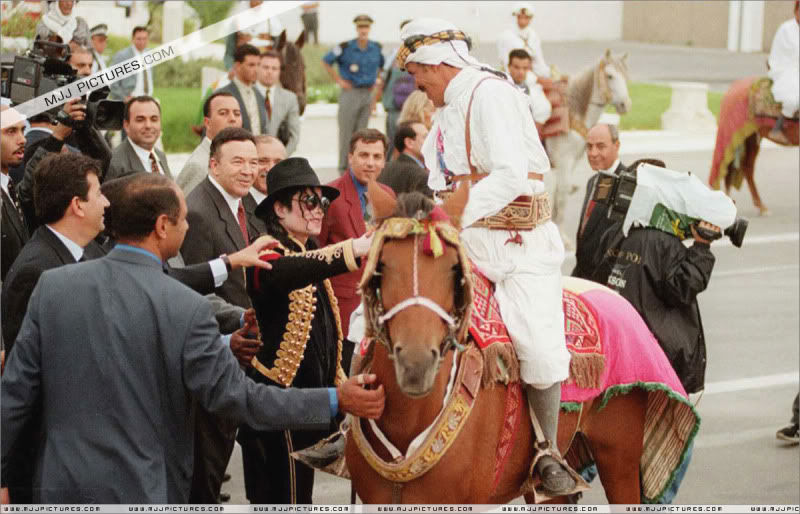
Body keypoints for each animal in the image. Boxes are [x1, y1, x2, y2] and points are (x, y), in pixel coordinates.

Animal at [544, 49, 632, 245]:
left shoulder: (571, 162)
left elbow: (558, 193)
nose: (625, 105)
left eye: (625, 75)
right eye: (610, 76)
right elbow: (562, 196)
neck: (574, 112)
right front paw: (563, 238)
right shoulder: (564, 161)